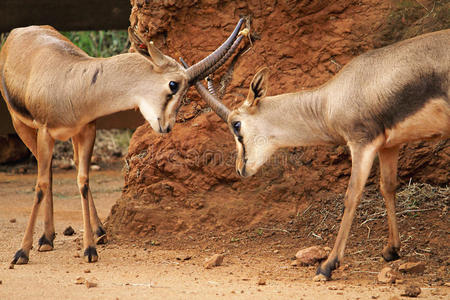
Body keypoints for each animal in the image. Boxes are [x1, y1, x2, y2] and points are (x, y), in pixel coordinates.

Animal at [0, 18, 248, 264]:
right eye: (173, 84)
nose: (167, 126)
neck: (74, 82)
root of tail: (21, 31)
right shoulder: (44, 132)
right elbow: (41, 185)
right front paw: (22, 253)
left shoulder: (87, 131)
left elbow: (83, 180)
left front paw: (90, 248)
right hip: (21, 126)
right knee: (47, 174)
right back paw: (45, 239)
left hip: (70, 137)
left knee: (69, 169)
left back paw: (84, 233)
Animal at [195, 29, 448, 280]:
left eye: (236, 125)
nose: (240, 169)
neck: (327, 102)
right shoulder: (389, 146)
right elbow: (388, 187)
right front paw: (391, 250)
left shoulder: (362, 144)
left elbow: (352, 195)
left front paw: (327, 266)